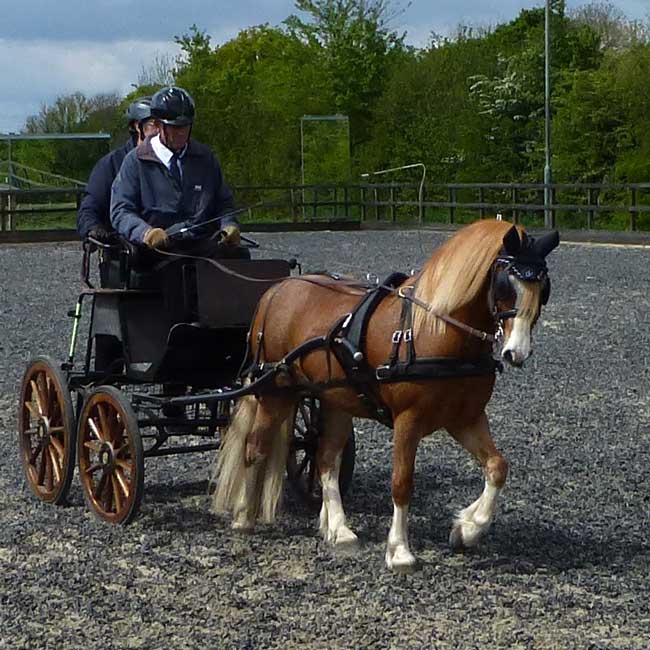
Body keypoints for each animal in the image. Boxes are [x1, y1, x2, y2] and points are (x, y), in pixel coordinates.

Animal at [211, 218, 556, 568]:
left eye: (544, 290)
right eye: (505, 285)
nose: (517, 353)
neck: (433, 330)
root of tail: (276, 290)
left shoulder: (465, 418)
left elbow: (497, 467)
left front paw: (468, 527)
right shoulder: (408, 420)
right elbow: (402, 482)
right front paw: (400, 550)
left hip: (334, 400)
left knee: (325, 458)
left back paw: (338, 529)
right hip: (275, 394)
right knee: (255, 447)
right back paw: (244, 516)